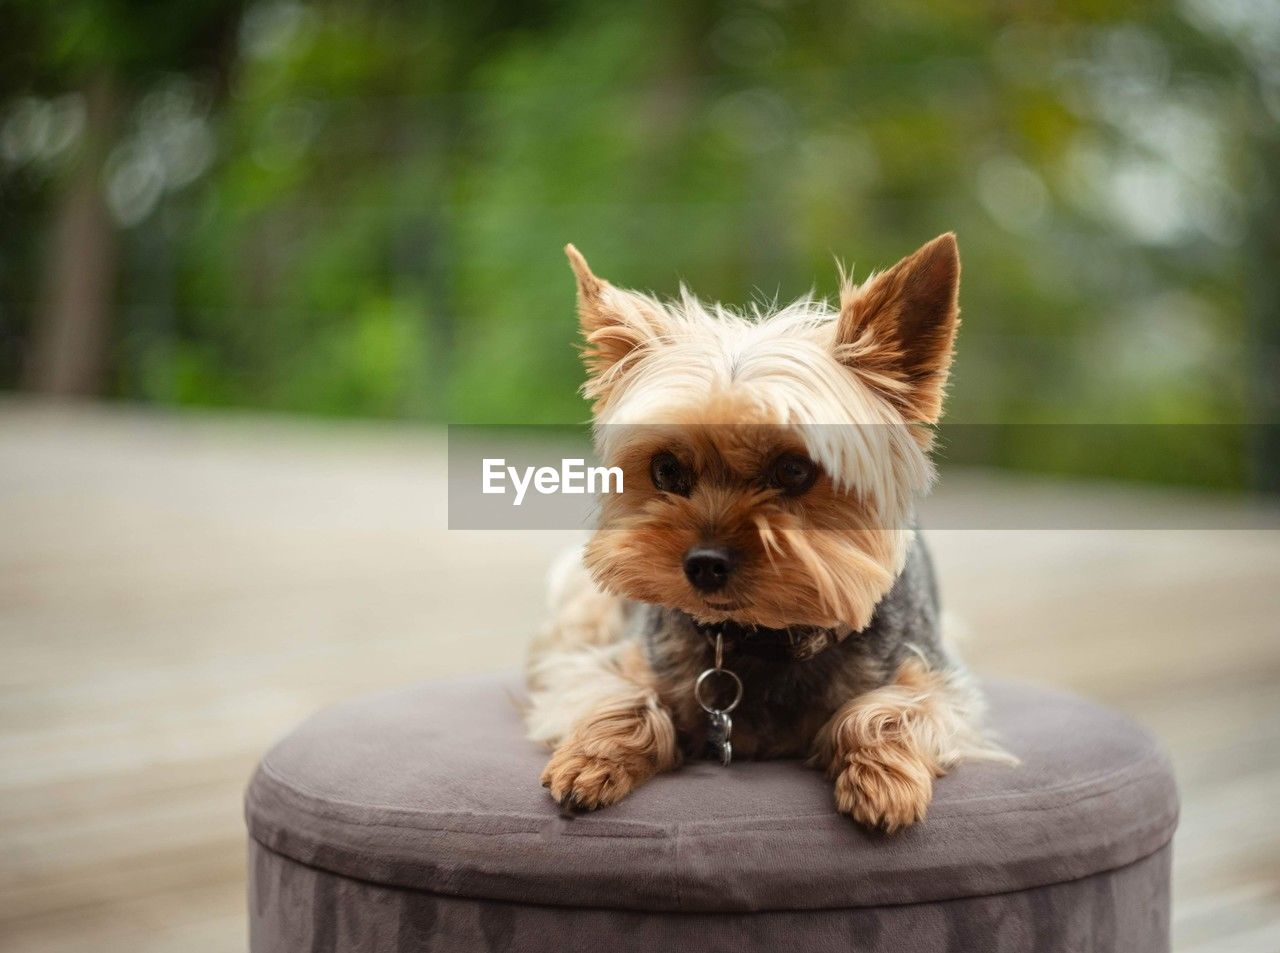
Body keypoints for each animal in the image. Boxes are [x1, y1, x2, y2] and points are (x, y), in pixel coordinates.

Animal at [519, 234, 1008, 828]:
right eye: (665, 470)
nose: (704, 564)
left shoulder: (944, 686)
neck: (760, 636)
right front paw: (591, 759)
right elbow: (621, 694)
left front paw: (882, 779)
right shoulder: (610, 661)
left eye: (794, 470)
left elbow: (888, 708)